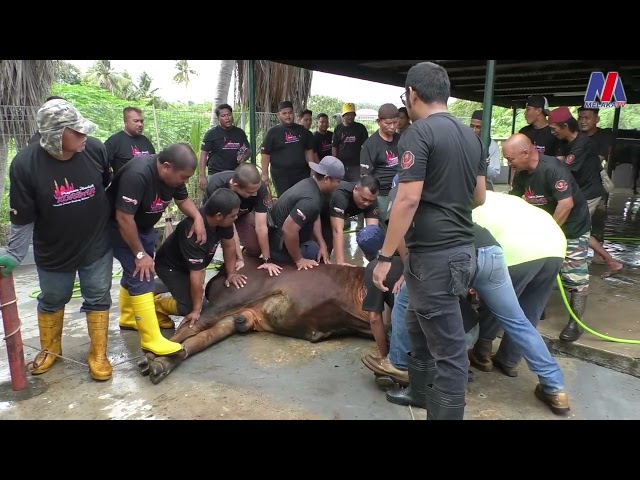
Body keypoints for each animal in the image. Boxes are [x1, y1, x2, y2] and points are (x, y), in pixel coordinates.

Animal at [138, 255, 372, 386]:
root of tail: (224, 270)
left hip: (235, 317)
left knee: (201, 338)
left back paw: (159, 365)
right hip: (228, 300)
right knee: (190, 326)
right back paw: (149, 358)